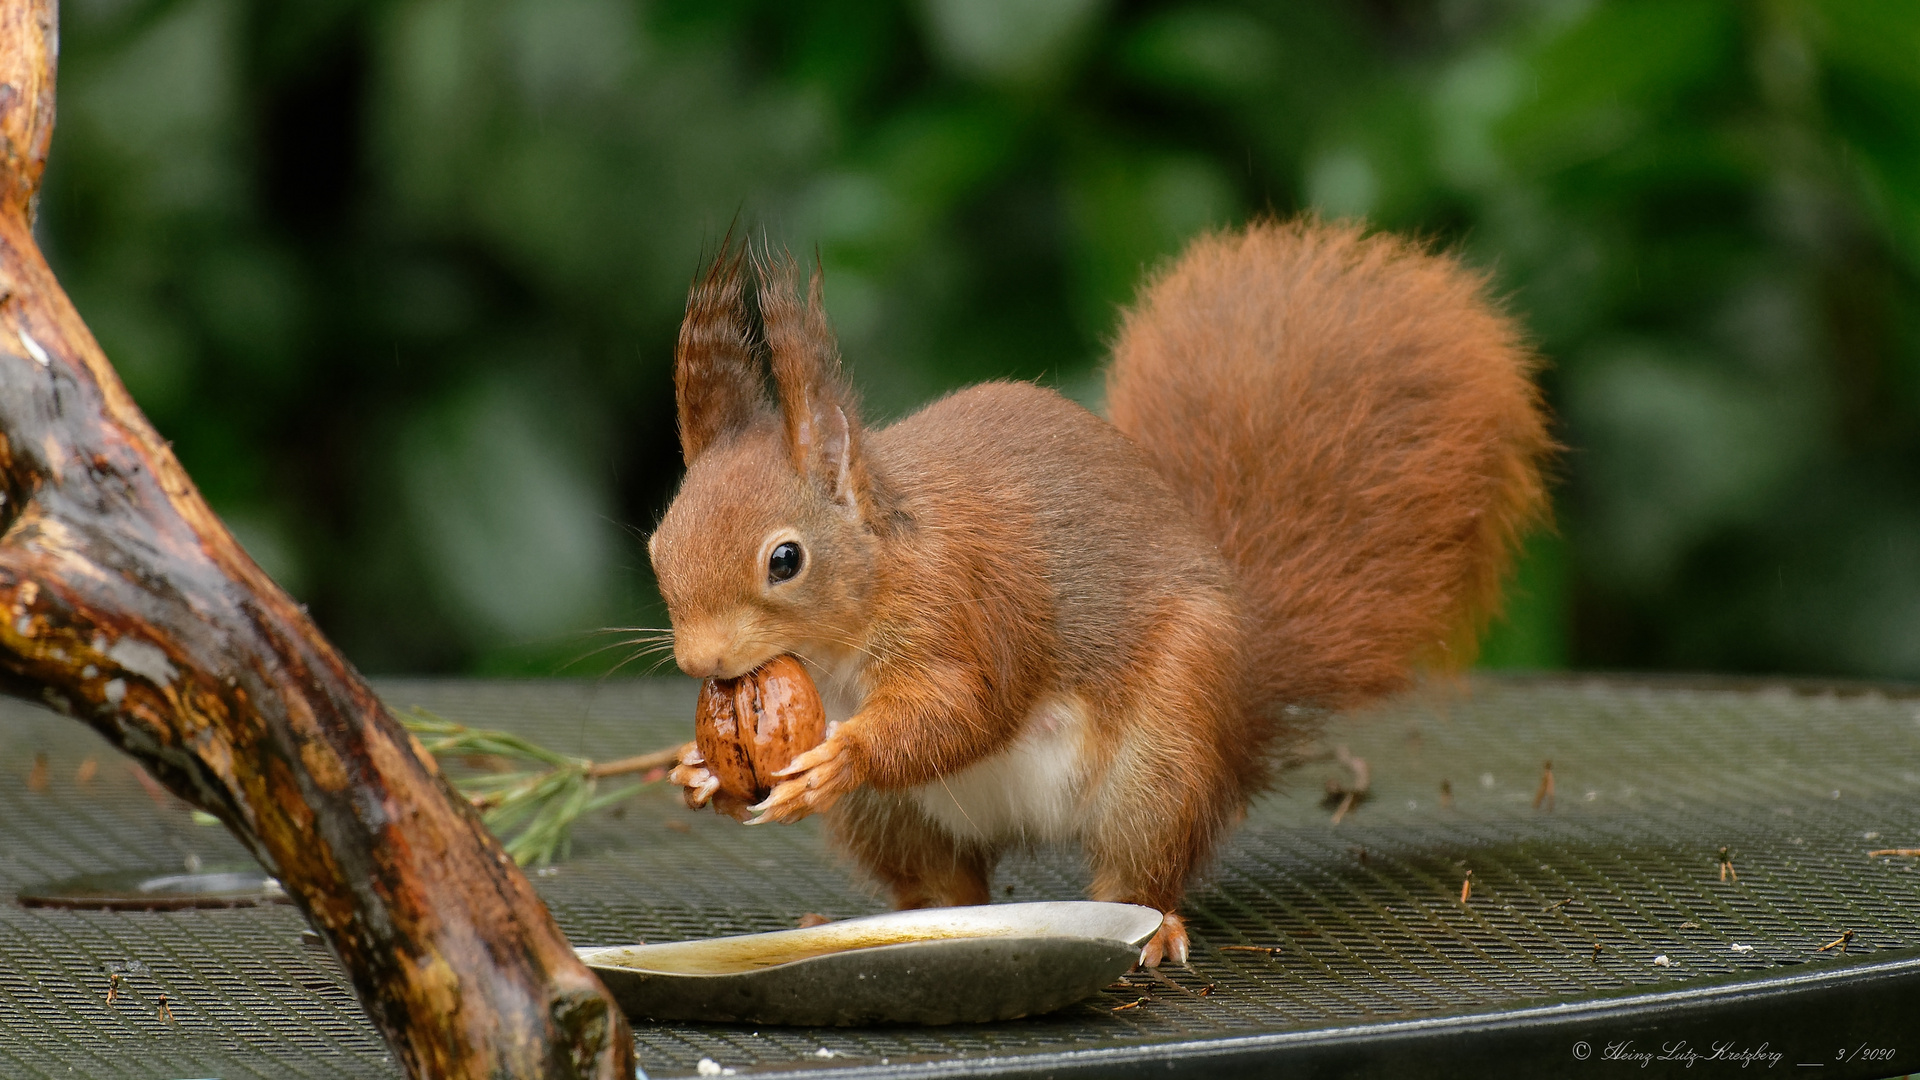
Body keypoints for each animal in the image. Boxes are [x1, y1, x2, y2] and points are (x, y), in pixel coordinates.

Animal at [652, 216, 1551, 957]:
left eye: (785, 560)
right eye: (659, 548)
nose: (701, 663)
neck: (838, 645)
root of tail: (1245, 693)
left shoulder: (963, 604)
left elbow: (964, 709)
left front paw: (843, 754)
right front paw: (701, 772)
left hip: (1167, 751)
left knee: (1138, 871)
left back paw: (1156, 930)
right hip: (893, 819)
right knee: (945, 882)